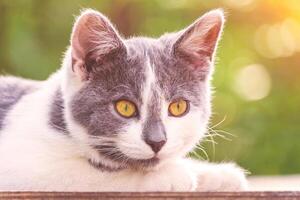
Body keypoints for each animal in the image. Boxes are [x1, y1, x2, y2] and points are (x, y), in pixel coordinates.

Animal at [0, 8, 247, 191]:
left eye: (178, 107)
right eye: (125, 107)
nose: (157, 141)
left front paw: (217, 174)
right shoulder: (19, 165)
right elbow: (83, 175)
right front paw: (171, 175)